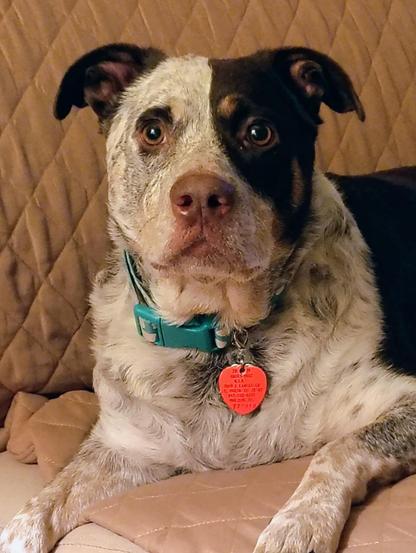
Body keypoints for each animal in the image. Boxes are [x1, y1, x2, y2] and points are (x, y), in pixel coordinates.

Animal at [0, 43, 416, 552]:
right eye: (152, 131)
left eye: (259, 132)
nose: (200, 196)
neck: (217, 326)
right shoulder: (124, 448)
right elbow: (45, 499)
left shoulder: (402, 401)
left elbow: (337, 449)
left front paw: (296, 525)